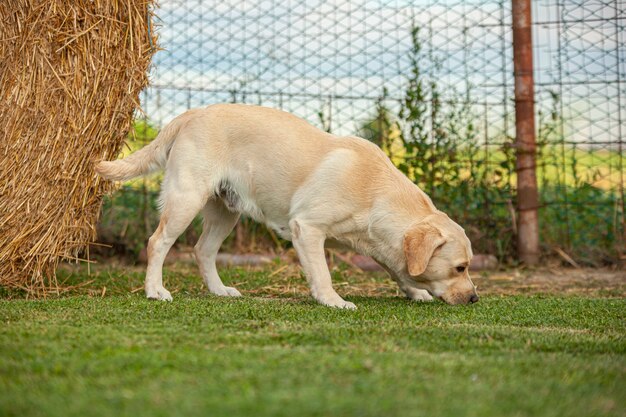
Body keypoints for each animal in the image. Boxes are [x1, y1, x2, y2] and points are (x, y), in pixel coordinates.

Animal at [96, 103, 478, 308]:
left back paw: (220, 290)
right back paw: (155, 291)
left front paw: (414, 290)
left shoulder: (375, 243)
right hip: (186, 199)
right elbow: (322, 272)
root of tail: (195, 112)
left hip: (226, 211)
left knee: (202, 251)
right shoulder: (307, 228)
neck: (375, 191)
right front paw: (333, 300)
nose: (475, 298)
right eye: (460, 268)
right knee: (157, 242)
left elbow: (395, 266)